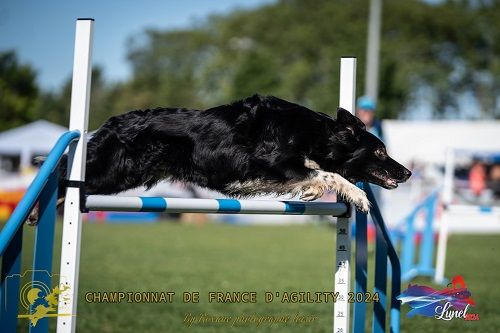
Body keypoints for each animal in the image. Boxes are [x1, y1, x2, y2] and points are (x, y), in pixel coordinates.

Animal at [31, 94, 410, 222]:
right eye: (380, 151)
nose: (407, 173)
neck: (316, 135)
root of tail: (111, 122)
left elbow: (324, 174)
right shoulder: (278, 164)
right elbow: (331, 175)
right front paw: (359, 196)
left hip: (121, 177)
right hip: (111, 172)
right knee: (64, 172)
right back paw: (36, 208)